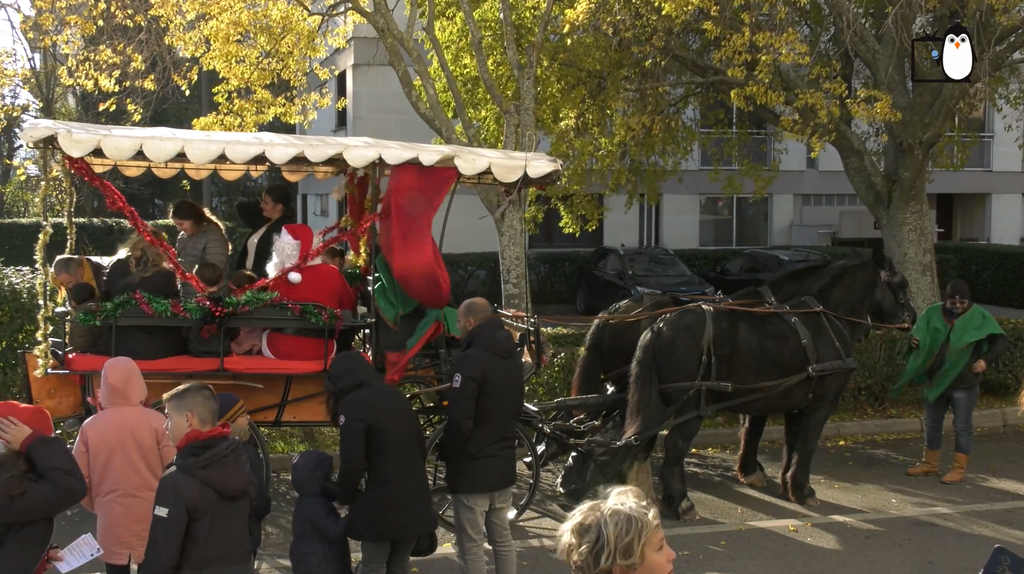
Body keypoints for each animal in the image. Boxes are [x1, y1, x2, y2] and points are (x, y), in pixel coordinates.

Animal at [561, 247, 913, 519]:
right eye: (901, 285)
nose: (911, 319)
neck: (821, 318)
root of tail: (655, 325)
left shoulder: (785, 397)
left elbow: (785, 439)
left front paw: (776, 480)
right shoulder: (819, 401)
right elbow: (804, 443)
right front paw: (800, 488)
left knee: (624, 436)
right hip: (686, 402)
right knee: (665, 445)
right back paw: (678, 503)